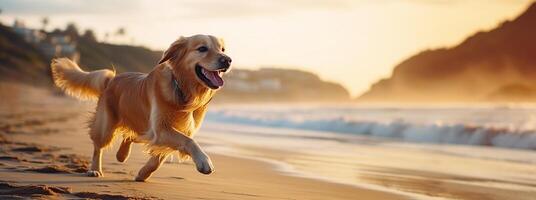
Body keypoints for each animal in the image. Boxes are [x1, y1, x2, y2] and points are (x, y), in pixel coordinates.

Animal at [50, 34, 232, 181]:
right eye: (202, 48)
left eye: (222, 49)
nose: (228, 60)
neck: (183, 89)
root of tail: (111, 79)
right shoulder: (161, 129)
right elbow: (189, 141)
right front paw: (204, 161)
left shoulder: (169, 131)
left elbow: (159, 159)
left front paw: (143, 174)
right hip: (106, 127)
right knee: (98, 147)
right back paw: (95, 169)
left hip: (142, 128)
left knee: (130, 136)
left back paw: (121, 155)